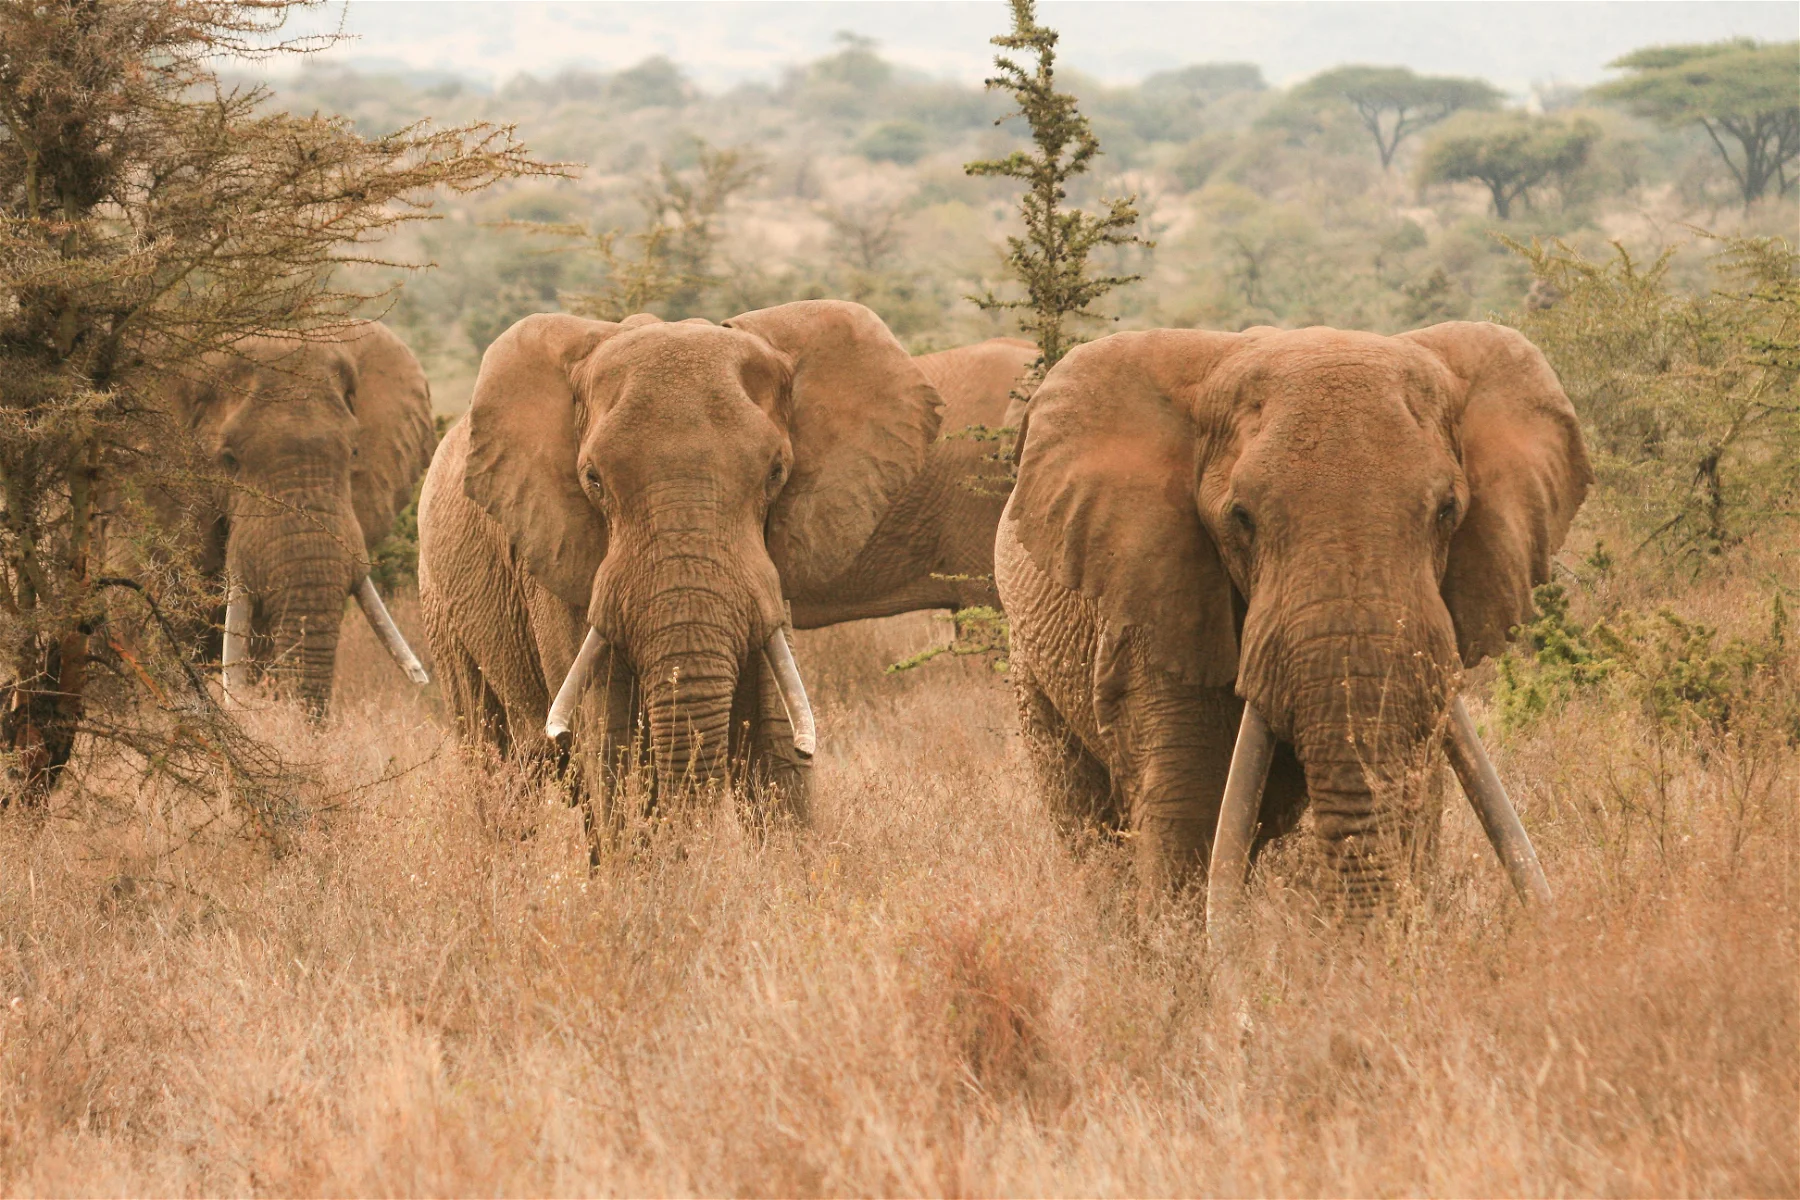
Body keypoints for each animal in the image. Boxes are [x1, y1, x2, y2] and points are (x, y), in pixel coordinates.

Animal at [416, 302, 1036, 817]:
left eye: (776, 474)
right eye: (592, 480)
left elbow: (774, 746)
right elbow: (609, 746)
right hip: (440, 598)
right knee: (495, 761)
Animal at [995, 322, 1590, 917]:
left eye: (1447, 511)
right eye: (1241, 519)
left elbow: (1411, 797)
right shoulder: (1156, 610)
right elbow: (1192, 812)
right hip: (1032, 667)